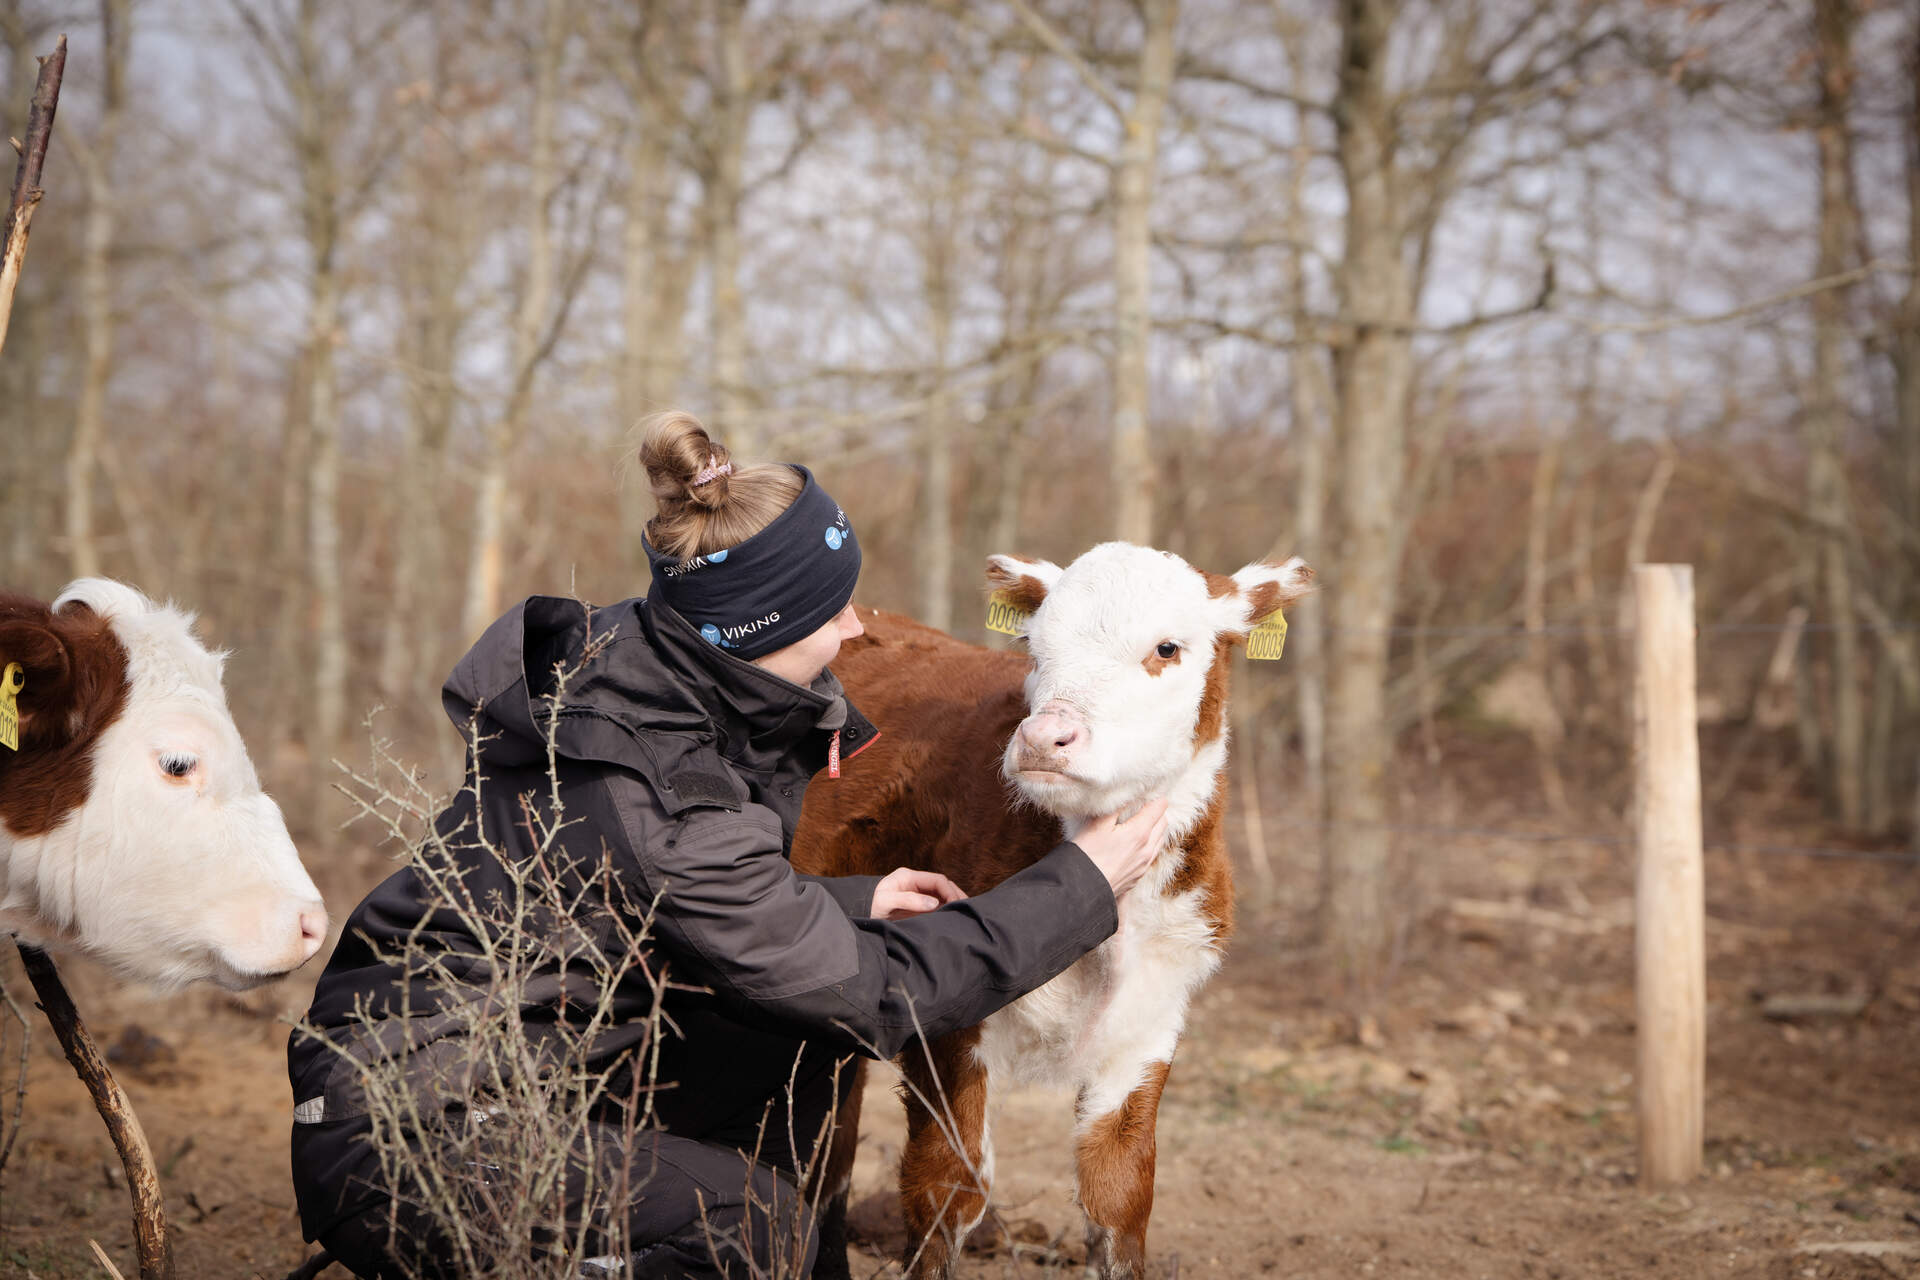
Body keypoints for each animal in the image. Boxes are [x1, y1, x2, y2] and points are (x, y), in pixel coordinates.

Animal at [787, 545, 1313, 1280]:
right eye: (1034, 647)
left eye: (1167, 648)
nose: (1043, 737)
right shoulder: (946, 1021)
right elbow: (947, 1187)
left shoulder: (1150, 1019)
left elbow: (1119, 1196)